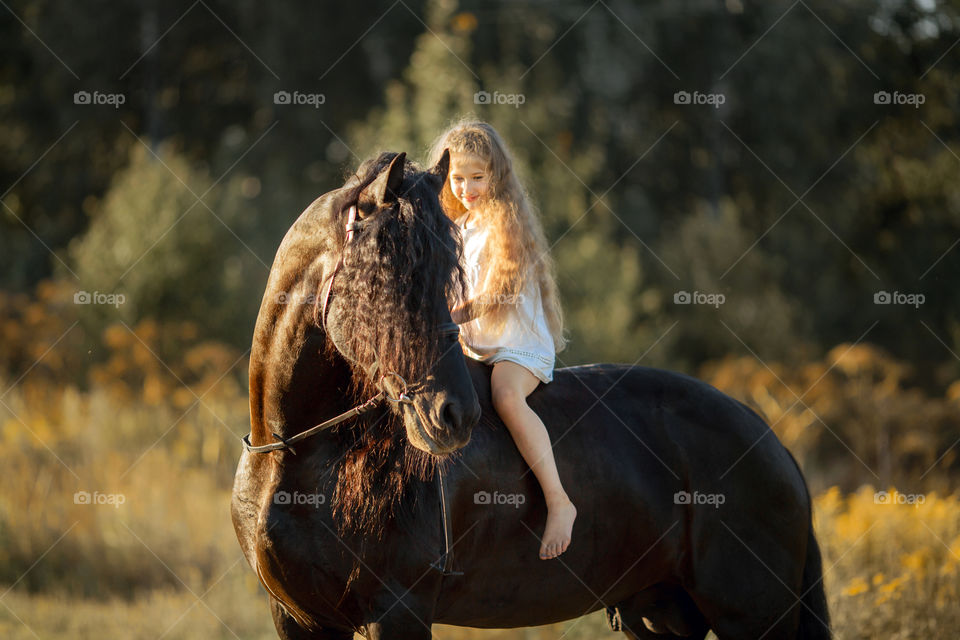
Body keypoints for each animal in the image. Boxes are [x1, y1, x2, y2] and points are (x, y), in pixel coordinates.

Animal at [234, 152, 832, 636]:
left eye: (446, 271)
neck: (296, 458)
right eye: (388, 273)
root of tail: (772, 442)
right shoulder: (299, 620)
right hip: (661, 615)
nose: (455, 415)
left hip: (750, 619)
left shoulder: (397, 612)